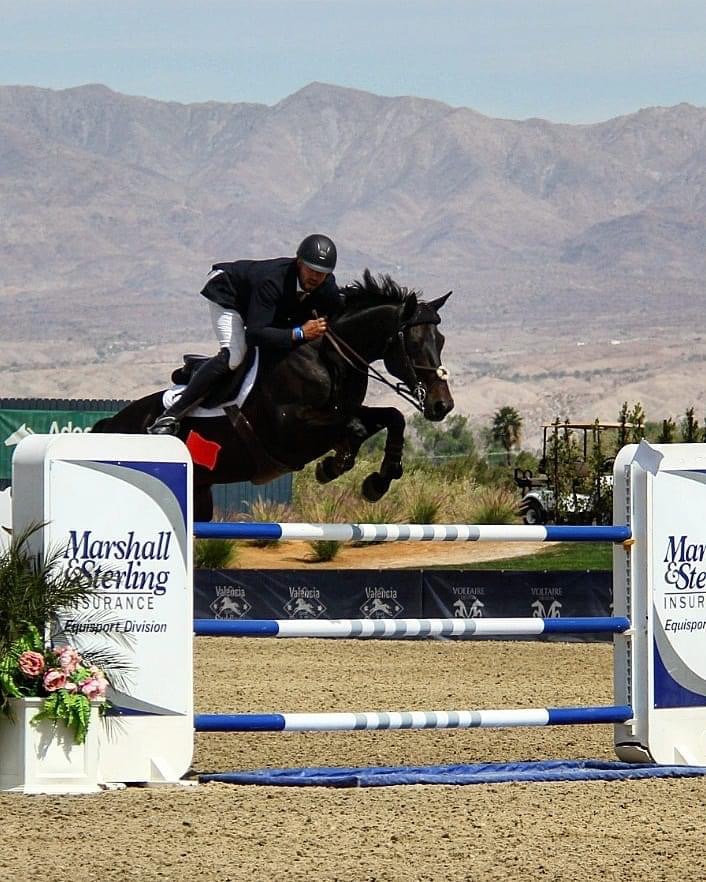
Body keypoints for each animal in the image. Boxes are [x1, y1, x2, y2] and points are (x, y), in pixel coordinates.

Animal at [92, 270, 454, 520]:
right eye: (414, 343)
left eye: (441, 340)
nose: (442, 405)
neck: (328, 358)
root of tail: (110, 423)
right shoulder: (289, 431)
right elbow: (353, 428)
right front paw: (335, 466)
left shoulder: (347, 409)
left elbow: (391, 418)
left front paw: (377, 480)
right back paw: (164, 424)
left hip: (200, 494)